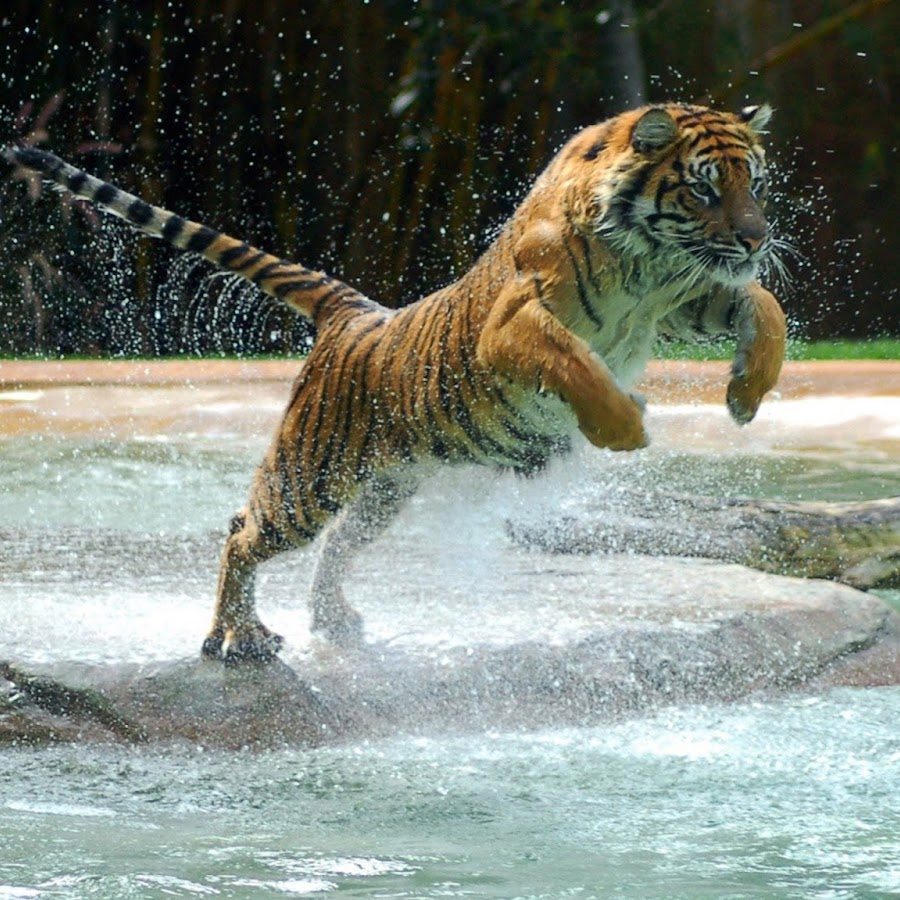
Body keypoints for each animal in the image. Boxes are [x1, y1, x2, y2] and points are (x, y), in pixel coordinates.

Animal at [5, 102, 788, 664]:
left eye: (754, 183)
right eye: (704, 187)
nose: (757, 239)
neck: (647, 263)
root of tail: (354, 313)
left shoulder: (688, 296)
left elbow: (765, 307)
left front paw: (745, 394)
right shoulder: (514, 324)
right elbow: (577, 365)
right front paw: (625, 426)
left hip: (386, 487)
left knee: (335, 547)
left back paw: (334, 624)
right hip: (309, 477)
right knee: (241, 533)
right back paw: (238, 639)